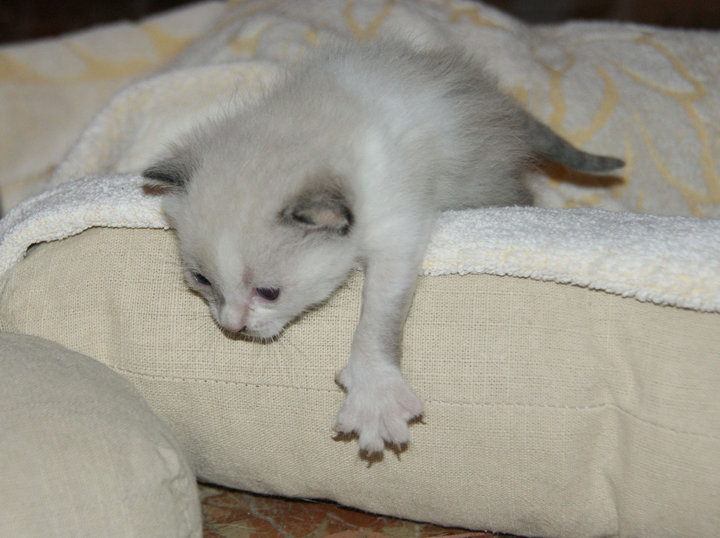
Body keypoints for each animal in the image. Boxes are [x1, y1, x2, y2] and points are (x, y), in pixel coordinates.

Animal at [143, 39, 620, 454]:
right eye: (202, 281)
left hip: (493, 182)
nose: (232, 325)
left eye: (269, 293)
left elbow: (378, 318)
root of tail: (490, 91)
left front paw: (374, 394)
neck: (313, 127)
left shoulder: (398, 227)